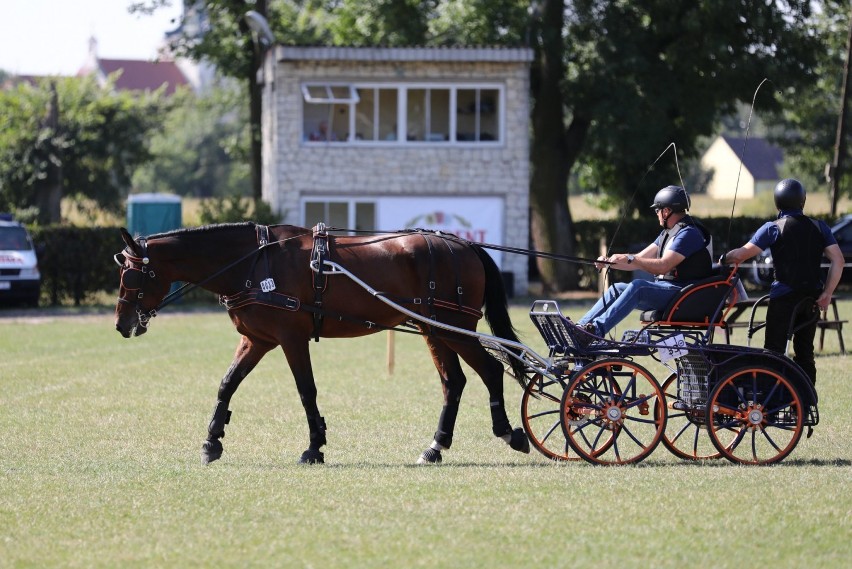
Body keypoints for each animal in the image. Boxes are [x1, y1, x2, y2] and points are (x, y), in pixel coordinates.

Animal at [110, 223, 528, 466]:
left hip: (454, 327)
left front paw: (314, 447)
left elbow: (305, 390)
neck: (254, 262)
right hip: (434, 331)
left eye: (132, 275)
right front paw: (212, 441)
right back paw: (436, 446)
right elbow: (227, 384)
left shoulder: (290, 338)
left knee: (490, 370)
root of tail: (464, 246)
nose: (121, 324)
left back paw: (510, 432)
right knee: (453, 382)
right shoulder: (257, 339)